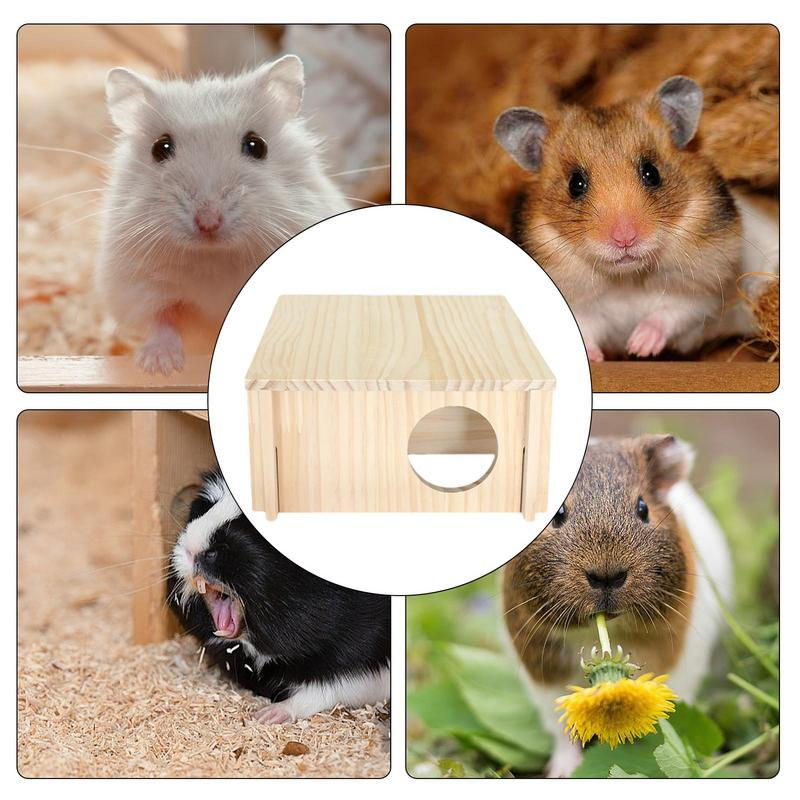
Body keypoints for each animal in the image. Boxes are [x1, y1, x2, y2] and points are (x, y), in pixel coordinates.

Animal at [97, 56, 350, 375]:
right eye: (160, 148)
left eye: (257, 145)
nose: (208, 222)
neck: (213, 258)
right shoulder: (140, 287)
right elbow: (161, 321)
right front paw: (160, 366)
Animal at [495, 76, 777, 362]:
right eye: (575, 184)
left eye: (651, 173)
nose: (625, 239)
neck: (626, 277)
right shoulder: (580, 306)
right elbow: (586, 331)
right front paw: (597, 357)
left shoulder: (701, 292)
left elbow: (670, 313)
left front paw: (639, 347)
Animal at [502, 435, 732, 776]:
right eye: (557, 513)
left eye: (643, 508)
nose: (607, 576)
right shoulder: (545, 676)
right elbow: (563, 733)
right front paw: (562, 772)